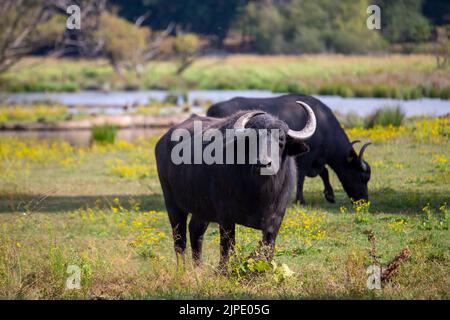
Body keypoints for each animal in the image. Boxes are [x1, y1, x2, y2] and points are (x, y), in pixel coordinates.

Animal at [155, 101, 316, 266]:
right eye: (252, 140)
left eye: (281, 141)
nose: (263, 163)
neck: (260, 193)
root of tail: (162, 141)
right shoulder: (226, 218)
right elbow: (227, 249)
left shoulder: (275, 221)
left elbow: (268, 250)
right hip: (173, 204)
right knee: (179, 240)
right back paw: (182, 269)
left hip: (201, 208)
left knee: (195, 231)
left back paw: (198, 267)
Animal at [208, 94, 372, 205]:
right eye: (362, 177)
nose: (364, 199)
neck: (324, 126)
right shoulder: (306, 157)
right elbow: (302, 176)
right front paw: (300, 199)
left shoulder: (317, 159)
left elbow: (324, 172)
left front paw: (330, 196)